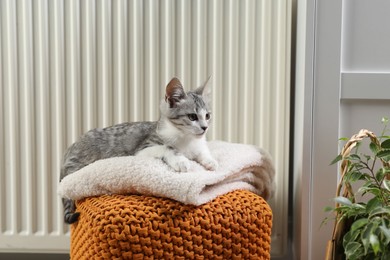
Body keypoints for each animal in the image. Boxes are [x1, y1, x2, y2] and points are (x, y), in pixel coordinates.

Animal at [61, 76, 219, 223]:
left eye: (207, 116)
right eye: (192, 116)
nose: (205, 127)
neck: (186, 139)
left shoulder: (198, 145)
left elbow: (202, 152)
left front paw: (211, 161)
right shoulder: (144, 148)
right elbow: (167, 147)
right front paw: (181, 161)